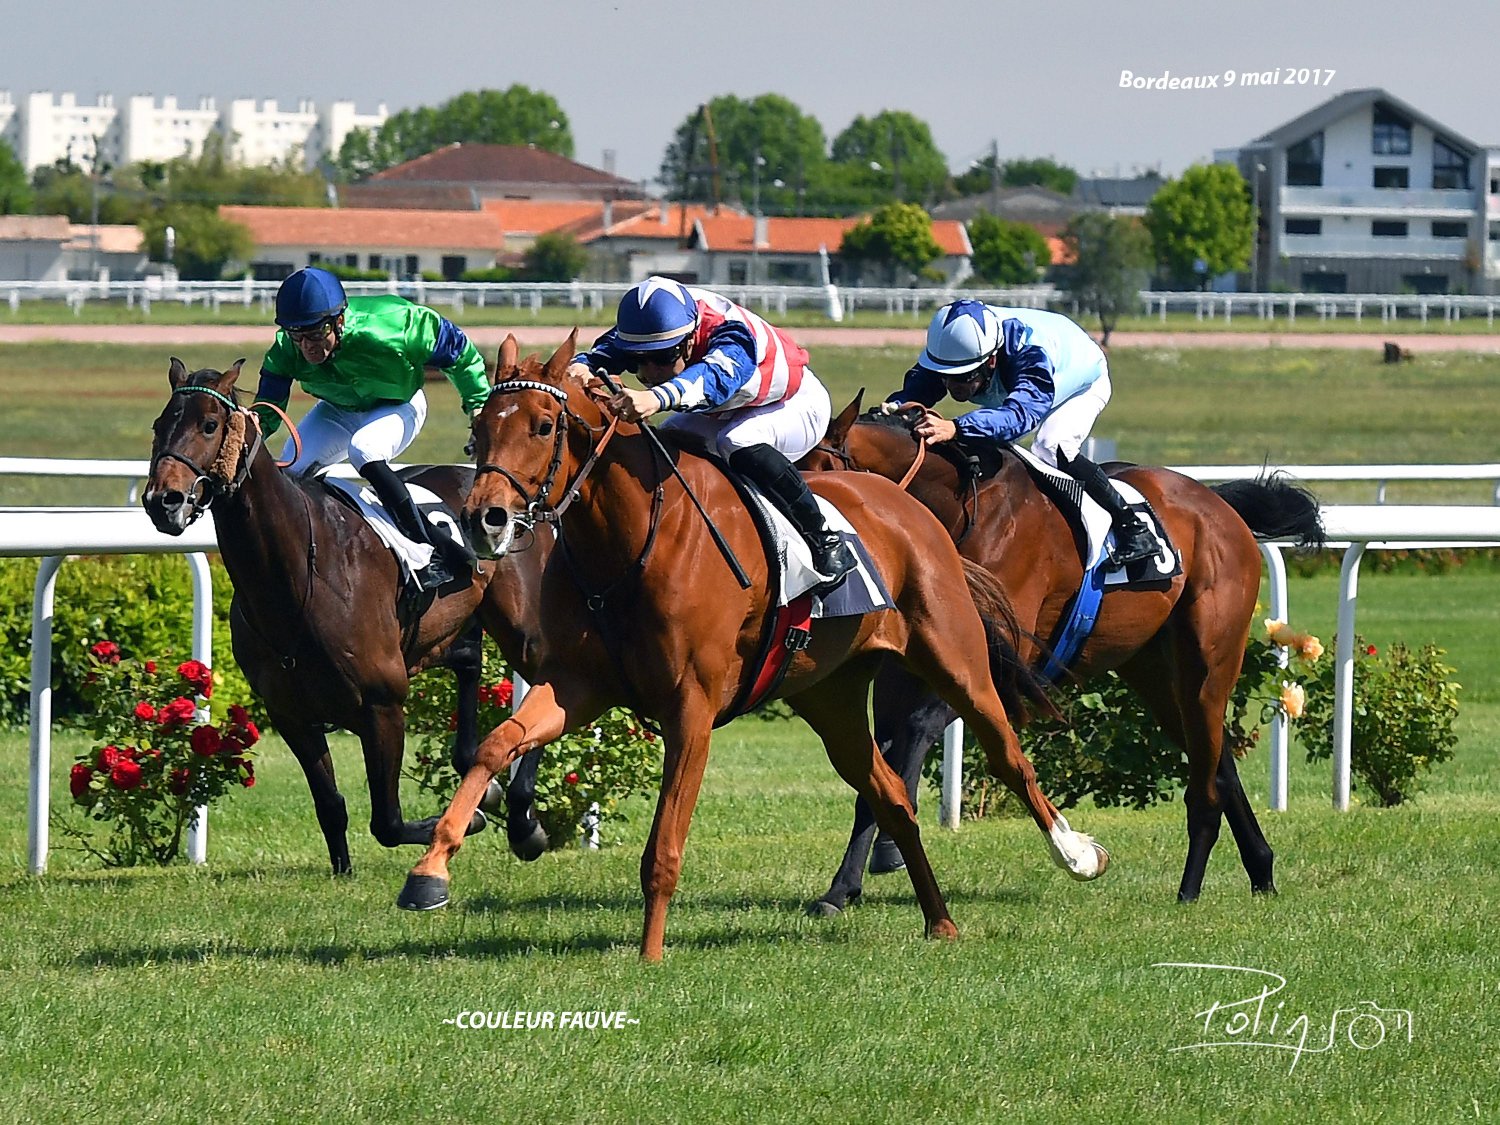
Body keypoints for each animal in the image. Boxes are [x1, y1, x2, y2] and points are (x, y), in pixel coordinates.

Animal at [142, 357, 554, 873]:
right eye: (159, 425)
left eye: (210, 425)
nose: (163, 501)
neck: (294, 578)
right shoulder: (291, 714)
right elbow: (330, 805)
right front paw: (343, 869)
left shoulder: (382, 706)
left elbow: (388, 822)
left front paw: (469, 819)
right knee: (467, 660)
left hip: (520, 625)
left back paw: (523, 821)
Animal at [396, 331, 1110, 961]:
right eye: (481, 427)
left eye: (544, 426)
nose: (483, 519)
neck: (633, 540)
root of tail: (911, 509)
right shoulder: (581, 686)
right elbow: (496, 746)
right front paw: (431, 870)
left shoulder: (691, 710)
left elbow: (664, 846)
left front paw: (650, 956)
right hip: (830, 697)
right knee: (891, 796)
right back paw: (938, 922)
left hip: (955, 660)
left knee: (1009, 755)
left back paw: (1077, 854)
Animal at [800, 393, 1324, 911]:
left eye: (822, 469)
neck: (957, 510)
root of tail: (1217, 502)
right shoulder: (901, 673)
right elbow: (879, 763)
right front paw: (843, 887)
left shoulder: (1000, 668)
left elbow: (913, 736)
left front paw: (884, 855)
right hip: (1152, 671)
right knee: (1217, 760)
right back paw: (1261, 869)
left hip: (1209, 658)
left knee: (1207, 768)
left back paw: (1190, 888)